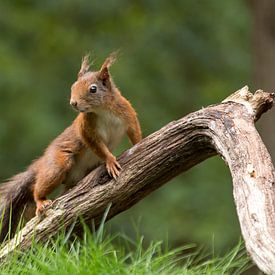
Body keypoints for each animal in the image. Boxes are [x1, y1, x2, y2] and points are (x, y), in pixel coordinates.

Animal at [0, 53, 142, 242]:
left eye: (93, 89)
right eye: (73, 86)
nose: (73, 103)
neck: (103, 110)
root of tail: (42, 163)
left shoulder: (128, 113)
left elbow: (135, 132)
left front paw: (140, 143)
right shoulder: (86, 128)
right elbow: (97, 147)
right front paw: (110, 160)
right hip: (58, 165)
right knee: (38, 188)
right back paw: (41, 201)